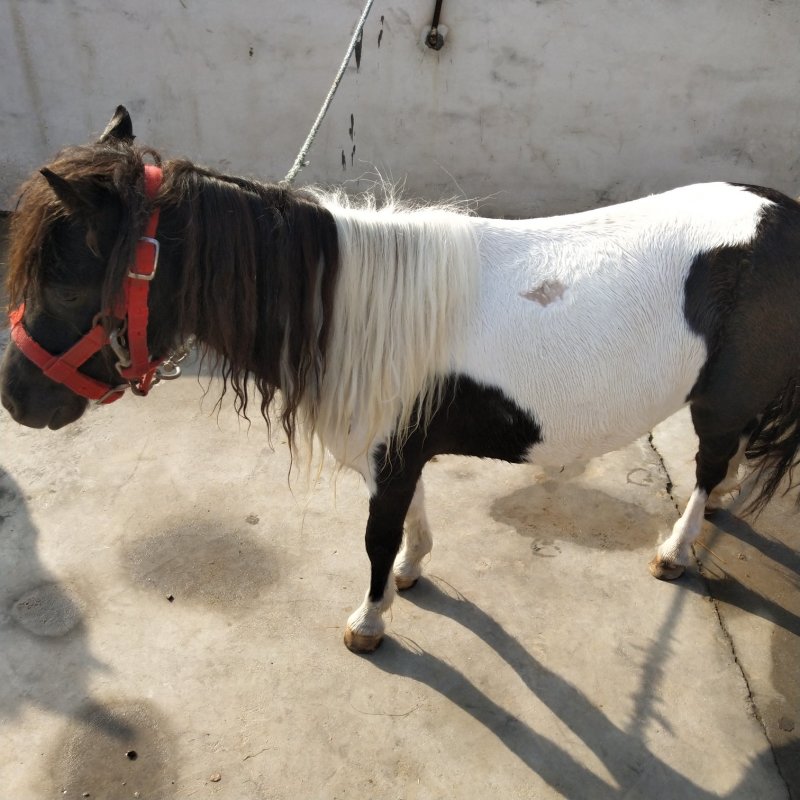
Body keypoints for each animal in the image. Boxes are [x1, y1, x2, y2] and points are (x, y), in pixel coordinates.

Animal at [2, 106, 799, 653]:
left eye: (68, 287)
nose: (16, 399)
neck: (350, 310)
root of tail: (785, 216)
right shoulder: (402, 450)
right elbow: (409, 521)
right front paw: (413, 573)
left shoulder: (391, 456)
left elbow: (376, 539)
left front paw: (370, 620)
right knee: (726, 458)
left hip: (718, 398)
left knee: (708, 462)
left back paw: (677, 548)